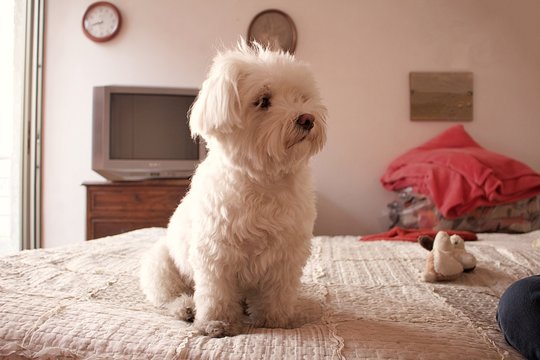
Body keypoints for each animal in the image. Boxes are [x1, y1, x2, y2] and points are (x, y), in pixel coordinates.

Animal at [139, 42, 326, 338]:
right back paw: (186, 307)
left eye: (301, 98)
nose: (307, 119)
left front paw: (276, 320)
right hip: (162, 265)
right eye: (263, 101)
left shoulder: (286, 252)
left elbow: (278, 293)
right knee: (170, 296)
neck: (265, 180)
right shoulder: (217, 252)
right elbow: (217, 294)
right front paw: (217, 324)